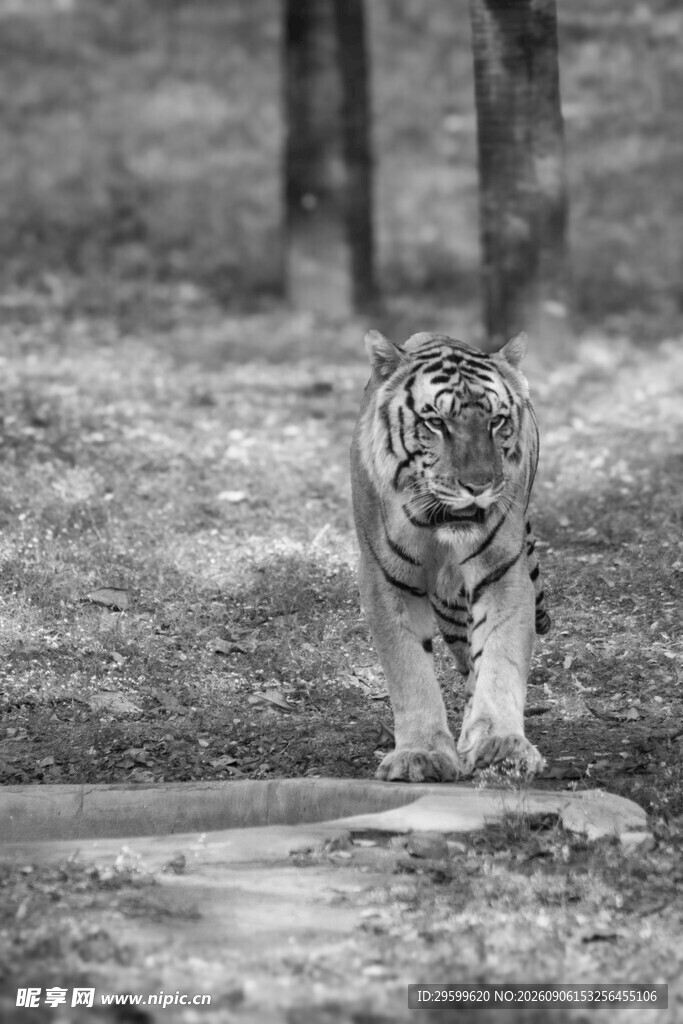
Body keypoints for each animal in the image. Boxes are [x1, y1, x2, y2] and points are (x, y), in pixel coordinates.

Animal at [350, 329, 551, 782]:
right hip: (448, 607)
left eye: (496, 421)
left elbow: (499, 657)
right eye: (436, 423)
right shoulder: (387, 582)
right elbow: (409, 669)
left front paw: (501, 745)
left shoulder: (502, 573)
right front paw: (420, 754)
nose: (478, 485)